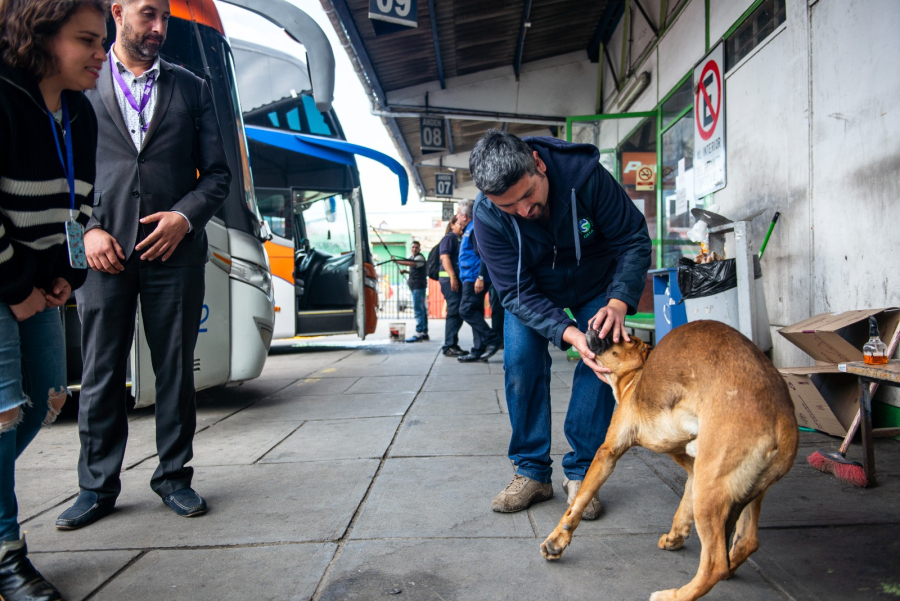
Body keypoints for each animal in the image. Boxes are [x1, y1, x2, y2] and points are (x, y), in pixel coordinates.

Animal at [536, 322, 800, 596]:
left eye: (626, 338)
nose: (596, 323)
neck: (635, 376)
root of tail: (784, 423)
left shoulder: (607, 453)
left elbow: (578, 503)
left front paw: (557, 541)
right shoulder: (690, 461)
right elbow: (685, 499)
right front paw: (676, 535)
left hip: (710, 489)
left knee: (715, 565)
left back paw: (672, 595)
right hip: (740, 487)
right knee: (747, 541)